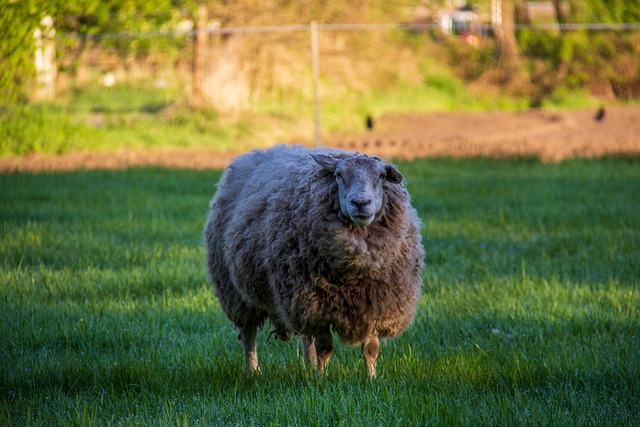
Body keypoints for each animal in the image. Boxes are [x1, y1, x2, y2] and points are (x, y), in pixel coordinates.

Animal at [205, 145, 424, 378]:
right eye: (338, 175)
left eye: (381, 176)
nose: (360, 203)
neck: (356, 268)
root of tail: (261, 151)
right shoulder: (317, 307)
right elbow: (324, 347)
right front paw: (322, 378)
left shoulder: (374, 305)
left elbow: (371, 348)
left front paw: (371, 378)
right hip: (237, 293)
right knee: (248, 334)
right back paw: (254, 370)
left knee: (305, 337)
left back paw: (308, 366)